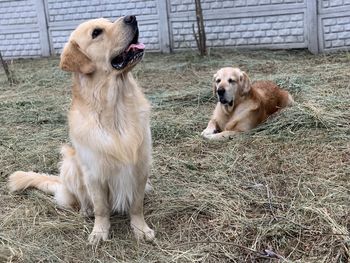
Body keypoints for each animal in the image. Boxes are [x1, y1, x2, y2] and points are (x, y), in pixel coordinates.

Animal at [7, 15, 154, 244]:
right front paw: (100, 232)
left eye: (110, 21)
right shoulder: (93, 173)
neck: (115, 107)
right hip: (70, 163)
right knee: (82, 199)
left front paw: (140, 229)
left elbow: (136, 205)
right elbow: (101, 207)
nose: (132, 17)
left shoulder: (141, 165)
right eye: (96, 32)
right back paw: (86, 211)